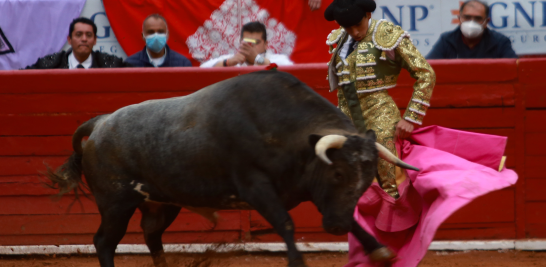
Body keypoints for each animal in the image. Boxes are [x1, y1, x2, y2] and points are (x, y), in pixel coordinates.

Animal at [45, 71, 416, 267]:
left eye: (366, 181)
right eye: (338, 174)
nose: (335, 228)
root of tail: (101, 123)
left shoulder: (311, 190)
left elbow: (352, 218)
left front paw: (380, 249)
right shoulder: (257, 188)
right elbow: (286, 222)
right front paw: (297, 261)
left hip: (162, 203)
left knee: (151, 234)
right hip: (115, 204)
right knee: (104, 241)